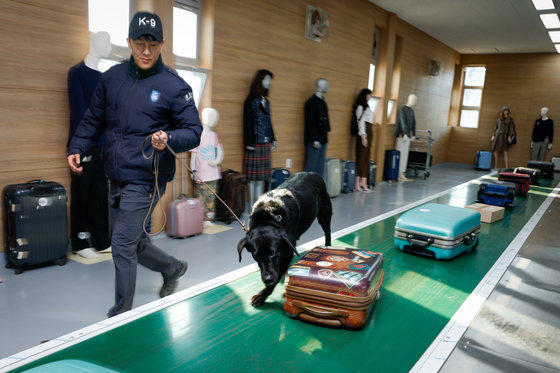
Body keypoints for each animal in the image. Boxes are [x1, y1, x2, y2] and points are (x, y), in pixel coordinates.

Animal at [237, 171, 332, 306]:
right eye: (256, 256)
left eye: (273, 253)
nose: (267, 279)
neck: (268, 218)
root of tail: (312, 172)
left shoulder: (287, 254)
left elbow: (276, 277)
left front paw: (262, 295)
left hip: (324, 215)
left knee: (328, 232)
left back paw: (328, 247)